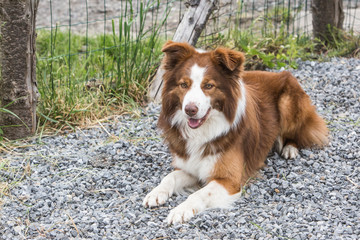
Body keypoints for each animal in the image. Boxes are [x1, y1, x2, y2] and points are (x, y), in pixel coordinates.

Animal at [142, 40, 328, 225]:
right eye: (183, 85)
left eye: (208, 86)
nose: (190, 110)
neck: (204, 130)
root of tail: (279, 73)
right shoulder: (191, 168)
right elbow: (170, 177)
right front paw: (156, 193)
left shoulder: (229, 180)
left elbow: (200, 194)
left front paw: (181, 210)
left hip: (288, 103)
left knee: (297, 133)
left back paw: (290, 149)